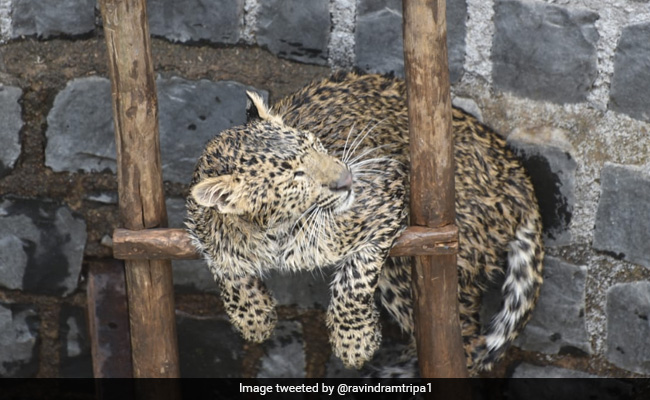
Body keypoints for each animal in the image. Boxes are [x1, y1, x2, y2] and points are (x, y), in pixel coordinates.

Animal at [185, 72, 544, 376]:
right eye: (295, 177)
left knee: (466, 342)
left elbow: (354, 280)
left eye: (315, 144)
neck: (272, 230)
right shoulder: (202, 225)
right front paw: (254, 319)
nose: (346, 180)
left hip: (418, 265)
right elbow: (223, 264)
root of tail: (519, 178)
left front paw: (355, 343)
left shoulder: (384, 196)